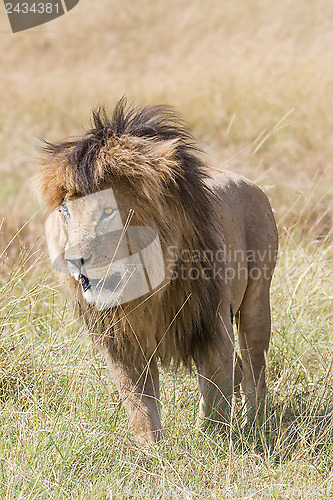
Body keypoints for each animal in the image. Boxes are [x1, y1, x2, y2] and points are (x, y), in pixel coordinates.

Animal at [35, 97, 278, 446]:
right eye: (65, 210)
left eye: (107, 210)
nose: (74, 259)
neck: (145, 289)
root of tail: (252, 184)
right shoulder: (123, 344)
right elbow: (141, 409)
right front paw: (151, 453)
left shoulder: (212, 328)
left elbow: (215, 401)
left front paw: (210, 446)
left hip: (255, 306)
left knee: (255, 372)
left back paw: (255, 424)